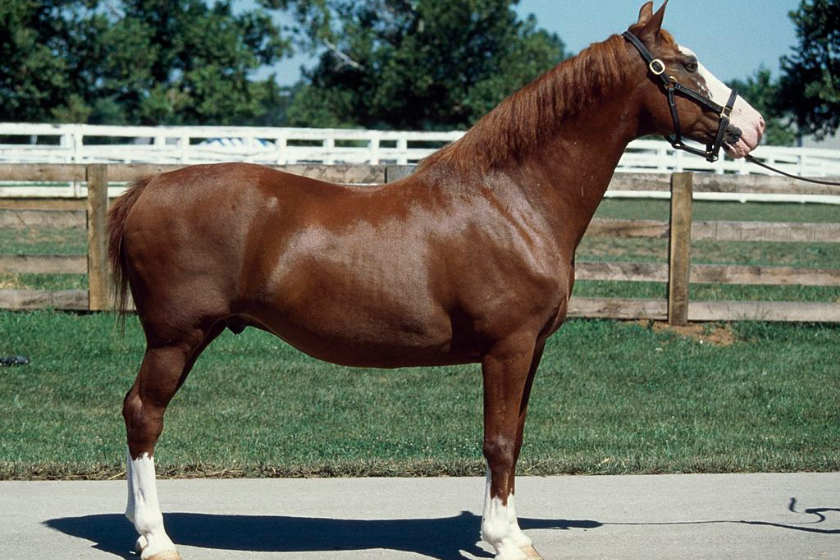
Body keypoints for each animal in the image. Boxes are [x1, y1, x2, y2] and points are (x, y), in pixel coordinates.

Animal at [108, 2, 764, 556]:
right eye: (686, 64)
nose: (754, 126)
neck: (512, 200)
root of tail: (149, 188)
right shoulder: (507, 348)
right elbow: (498, 442)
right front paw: (506, 541)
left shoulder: (530, 351)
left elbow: (512, 439)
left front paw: (498, 532)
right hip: (177, 339)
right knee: (143, 414)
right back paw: (156, 538)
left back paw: (138, 526)